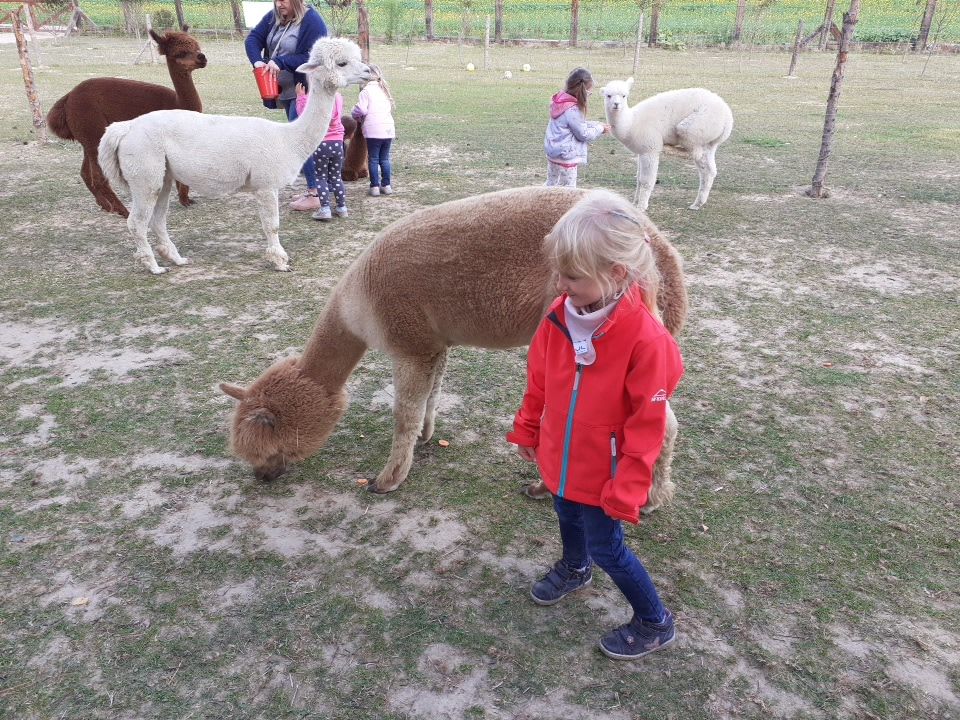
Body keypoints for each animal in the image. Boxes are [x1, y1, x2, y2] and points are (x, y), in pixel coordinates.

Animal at [46, 28, 207, 218]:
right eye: (180, 53)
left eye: (197, 46)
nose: (202, 57)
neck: (177, 104)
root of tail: (68, 98)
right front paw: (181, 198)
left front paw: (186, 199)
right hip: (92, 130)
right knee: (99, 178)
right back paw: (123, 211)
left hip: (87, 138)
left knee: (85, 173)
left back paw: (106, 206)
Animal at [97, 38, 372, 275]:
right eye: (342, 63)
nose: (370, 71)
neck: (287, 140)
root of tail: (125, 128)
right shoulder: (265, 184)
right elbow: (272, 225)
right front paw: (280, 262)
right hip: (145, 171)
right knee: (137, 222)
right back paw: (153, 266)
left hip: (162, 175)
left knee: (157, 220)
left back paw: (176, 259)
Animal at [219, 186, 688, 507]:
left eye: (271, 448)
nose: (262, 477)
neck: (359, 302)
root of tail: (659, 247)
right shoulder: (434, 341)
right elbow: (433, 394)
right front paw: (427, 437)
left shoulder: (408, 341)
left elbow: (403, 414)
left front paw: (388, 479)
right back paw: (651, 495)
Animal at [602, 78, 734, 211]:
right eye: (608, 95)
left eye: (624, 95)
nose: (616, 104)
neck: (631, 124)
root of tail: (728, 118)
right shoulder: (641, 152)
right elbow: (638, 179)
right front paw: (635, 204)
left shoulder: (650, 149)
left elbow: (646, 181)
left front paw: (642, 207)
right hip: (710, 142)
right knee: (709, 170)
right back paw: (697, 204)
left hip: (693, 127)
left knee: (695, 152)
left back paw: (670, 148)